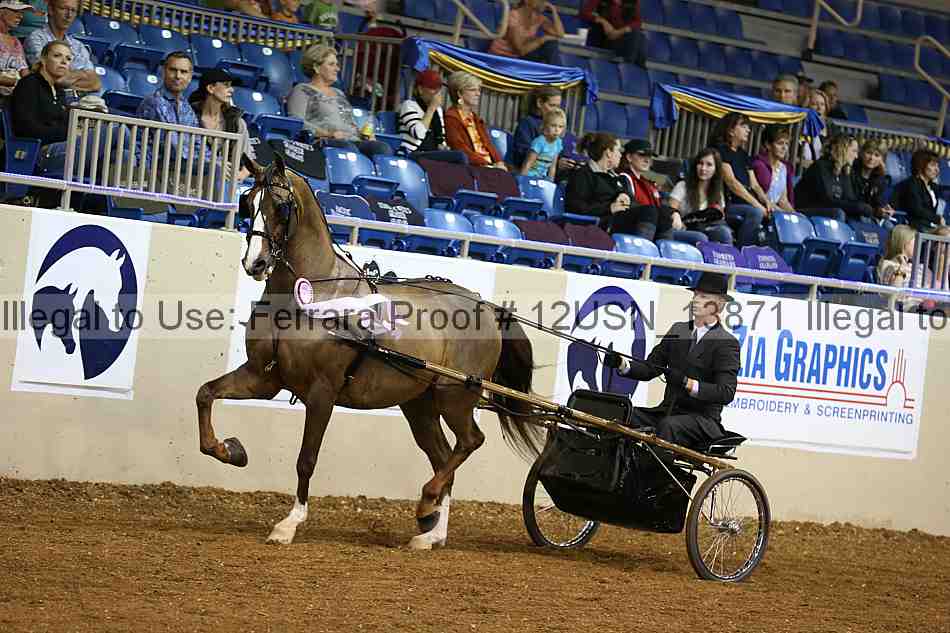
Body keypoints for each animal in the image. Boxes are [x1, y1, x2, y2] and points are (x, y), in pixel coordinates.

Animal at [195, 154, 544, 548]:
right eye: (247, 202)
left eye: (281, 206)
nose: (254, 264)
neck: (310, 297)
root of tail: (485, 306)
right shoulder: (262, 378)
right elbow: (205, 394)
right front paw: (230, 450)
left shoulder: (322, 392)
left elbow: (306, 459)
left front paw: (289, 523)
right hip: (419, 404)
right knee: (443, 457)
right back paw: (431, 534)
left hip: (454, 395)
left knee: (469, 442)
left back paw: (427, 505)